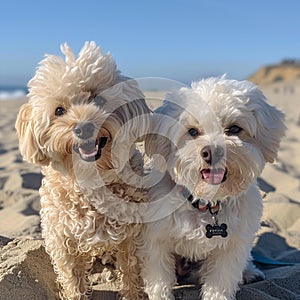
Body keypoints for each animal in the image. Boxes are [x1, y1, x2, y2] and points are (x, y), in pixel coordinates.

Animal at [14, 42, 150, 300]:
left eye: (98, 100)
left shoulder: (133, 237)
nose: (84, 127)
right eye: (59, 110)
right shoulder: (62, 239)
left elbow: (131, 272)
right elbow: (71, 276)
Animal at [138, 77, 286, 300]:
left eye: (234, 129)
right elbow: (159, 279)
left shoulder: (232, 247)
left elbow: (220, 281)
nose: (211, 151)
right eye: (192, 131)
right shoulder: (156, 241)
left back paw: (250, 272)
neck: (206, 203)